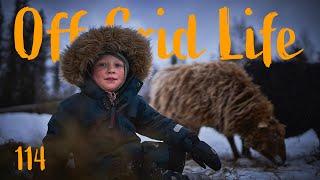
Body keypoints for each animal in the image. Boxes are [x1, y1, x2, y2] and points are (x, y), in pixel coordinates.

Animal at [150, 61, 288, 165]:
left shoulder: (223, 117)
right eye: (274, 135)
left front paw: (243, 155)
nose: (283, 162)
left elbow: (233, 138)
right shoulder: (196, 118)